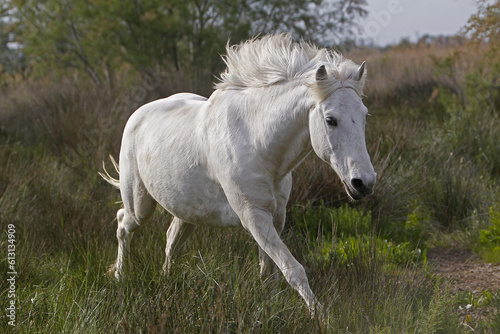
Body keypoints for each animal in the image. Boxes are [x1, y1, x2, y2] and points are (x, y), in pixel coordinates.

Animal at [100, 34, 376, 316]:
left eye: (364, 115)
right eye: (331, 120)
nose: (363, 183)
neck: (257, 143)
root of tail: (137, 115)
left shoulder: (276, 217)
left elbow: (269, 272)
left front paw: (270, 308)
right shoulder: (254, 216)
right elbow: (293, 270)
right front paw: (320, 316)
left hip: (187, 212)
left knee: (171, 242)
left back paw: (166, 282)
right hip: (140, 205)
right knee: (123, 223)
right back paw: (120, 275)